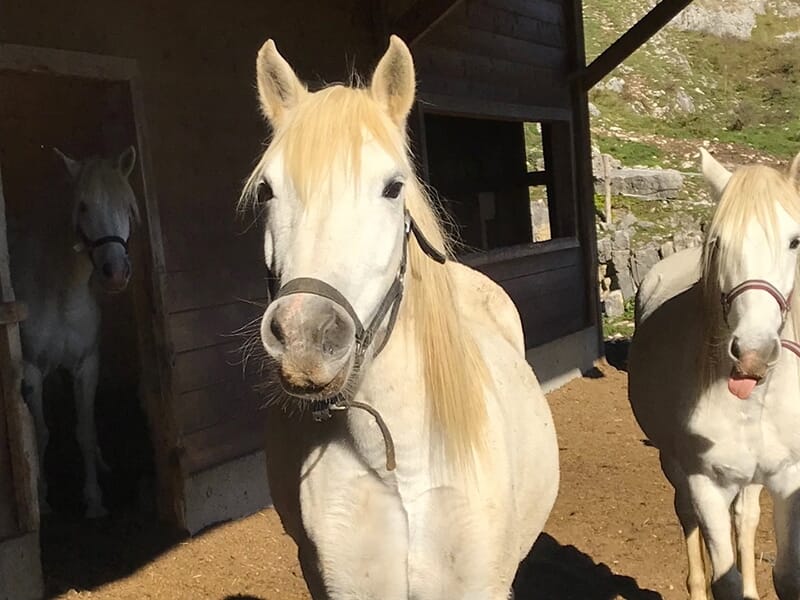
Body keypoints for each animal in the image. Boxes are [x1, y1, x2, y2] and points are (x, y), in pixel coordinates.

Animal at [12, 145, 140, 516]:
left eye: (126, 206)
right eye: (83, 206)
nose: (116, 272)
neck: (61, 291)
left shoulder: (87, 365)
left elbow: (84, 430)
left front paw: (94, 499)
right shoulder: (31, 372)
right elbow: (39, 434)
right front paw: (41, 498)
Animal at [628, 149, 800, 600]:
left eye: (795, 241)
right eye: (718, 241)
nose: (754, 354)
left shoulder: (787, 477)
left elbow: (787, 575)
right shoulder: (705, 484)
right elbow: (725, 579)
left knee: (746, 517)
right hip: (674, 464)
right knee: (685, 513)